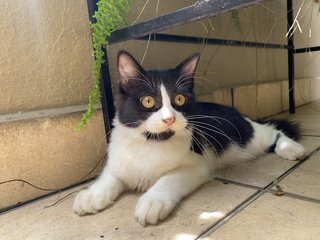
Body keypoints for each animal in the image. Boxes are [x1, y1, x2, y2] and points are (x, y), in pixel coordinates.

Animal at [72, 50, 304, 225]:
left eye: (179, 99)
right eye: (148, 101)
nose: (169, 119)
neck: (151, 141)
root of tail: (236, 111)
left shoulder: (196, 165)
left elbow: (168, 178)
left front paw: (152, 201)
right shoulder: (119, 160)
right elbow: (110, 176)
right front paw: (92, 195)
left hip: (246, 139)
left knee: (273, 130)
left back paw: (290, 148)